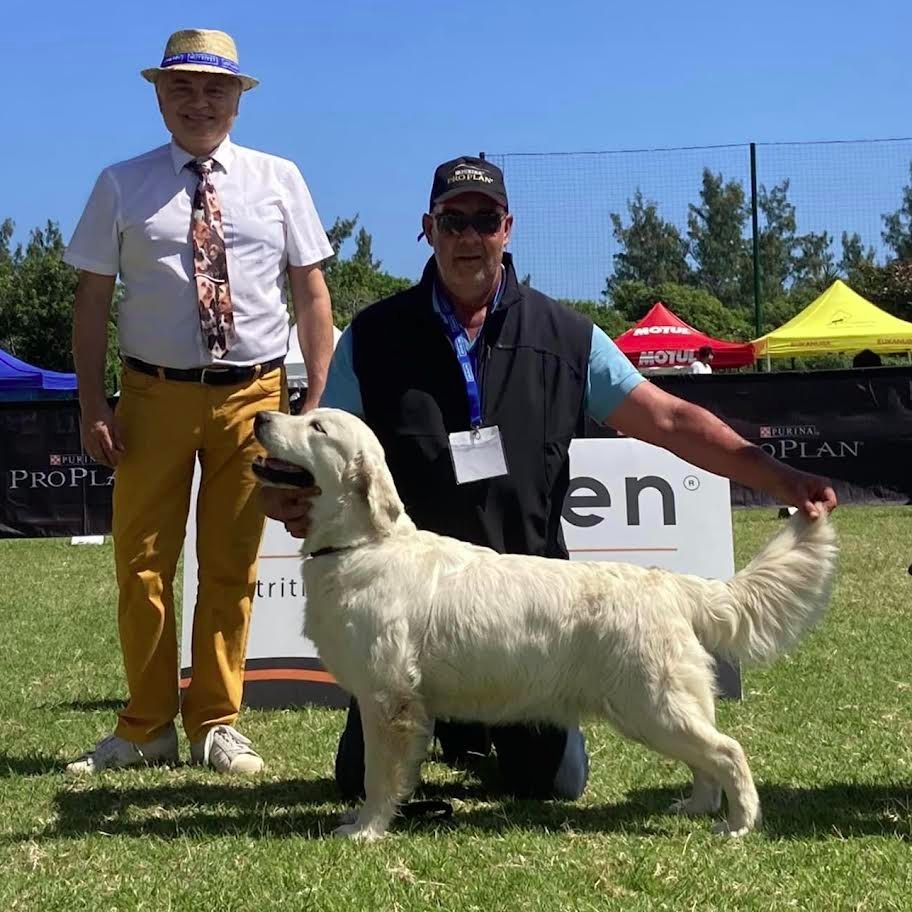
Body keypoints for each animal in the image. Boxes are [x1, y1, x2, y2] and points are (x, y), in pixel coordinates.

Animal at [253, 406, 836, 840]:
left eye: (316, 427)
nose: (261, 417)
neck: (361, 545)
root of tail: (668, 584)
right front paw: (362, 821)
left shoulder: (388, 699)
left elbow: (379, 777)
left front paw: (367, 830)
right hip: (660, 709)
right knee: (706, 760)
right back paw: (695, 807)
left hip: (653, 706)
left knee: (728, 751)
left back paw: (738, 825)